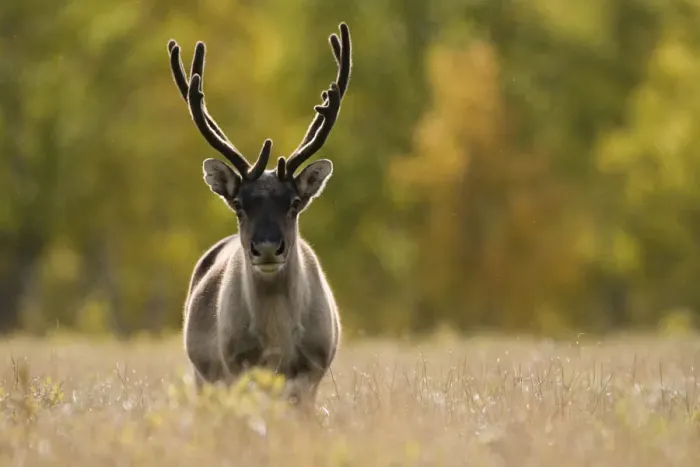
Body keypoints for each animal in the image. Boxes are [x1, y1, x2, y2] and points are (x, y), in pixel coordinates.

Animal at [166, 23, 352, 409]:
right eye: (239, 204)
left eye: (294, 202)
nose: (267, 247)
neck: (276, 338)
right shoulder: (236, 364)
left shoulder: (313, 367)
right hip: (202, 374)